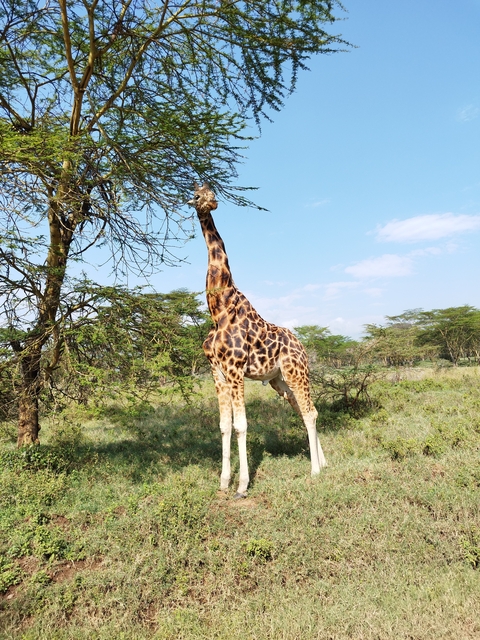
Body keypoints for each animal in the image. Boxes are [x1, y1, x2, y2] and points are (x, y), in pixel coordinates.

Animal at [188, 182, 327, 498]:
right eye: (197, 194)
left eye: (212, 192)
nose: (210, 204)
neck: (218, 308)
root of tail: (302, 346)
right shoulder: (217, 371)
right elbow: (224, 426)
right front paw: (223, 482)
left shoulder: (235, 369)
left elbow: (241, 425)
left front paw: (242, 485)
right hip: (279, 380)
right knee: (303, 410)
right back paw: (323, 462)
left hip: (296, 372)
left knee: (311, 412)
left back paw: (315, 471)